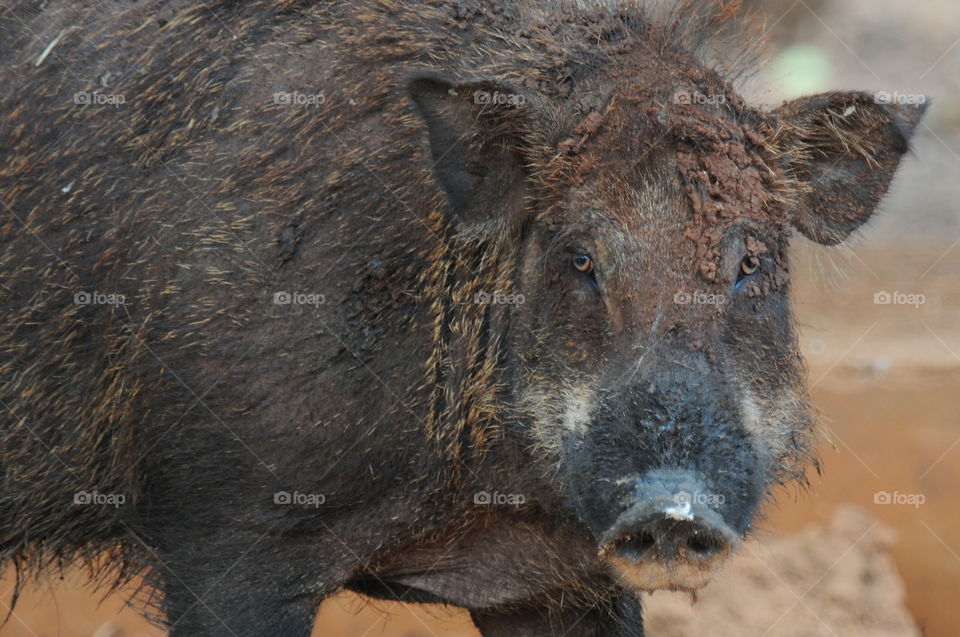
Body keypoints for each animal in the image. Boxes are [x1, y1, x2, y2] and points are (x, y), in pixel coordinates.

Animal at [0, 0, 925, 635]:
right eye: (577, 257)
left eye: (751, 262)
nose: (672, 508)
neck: (477, 498)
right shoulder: (224, 533)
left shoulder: (559, 579)